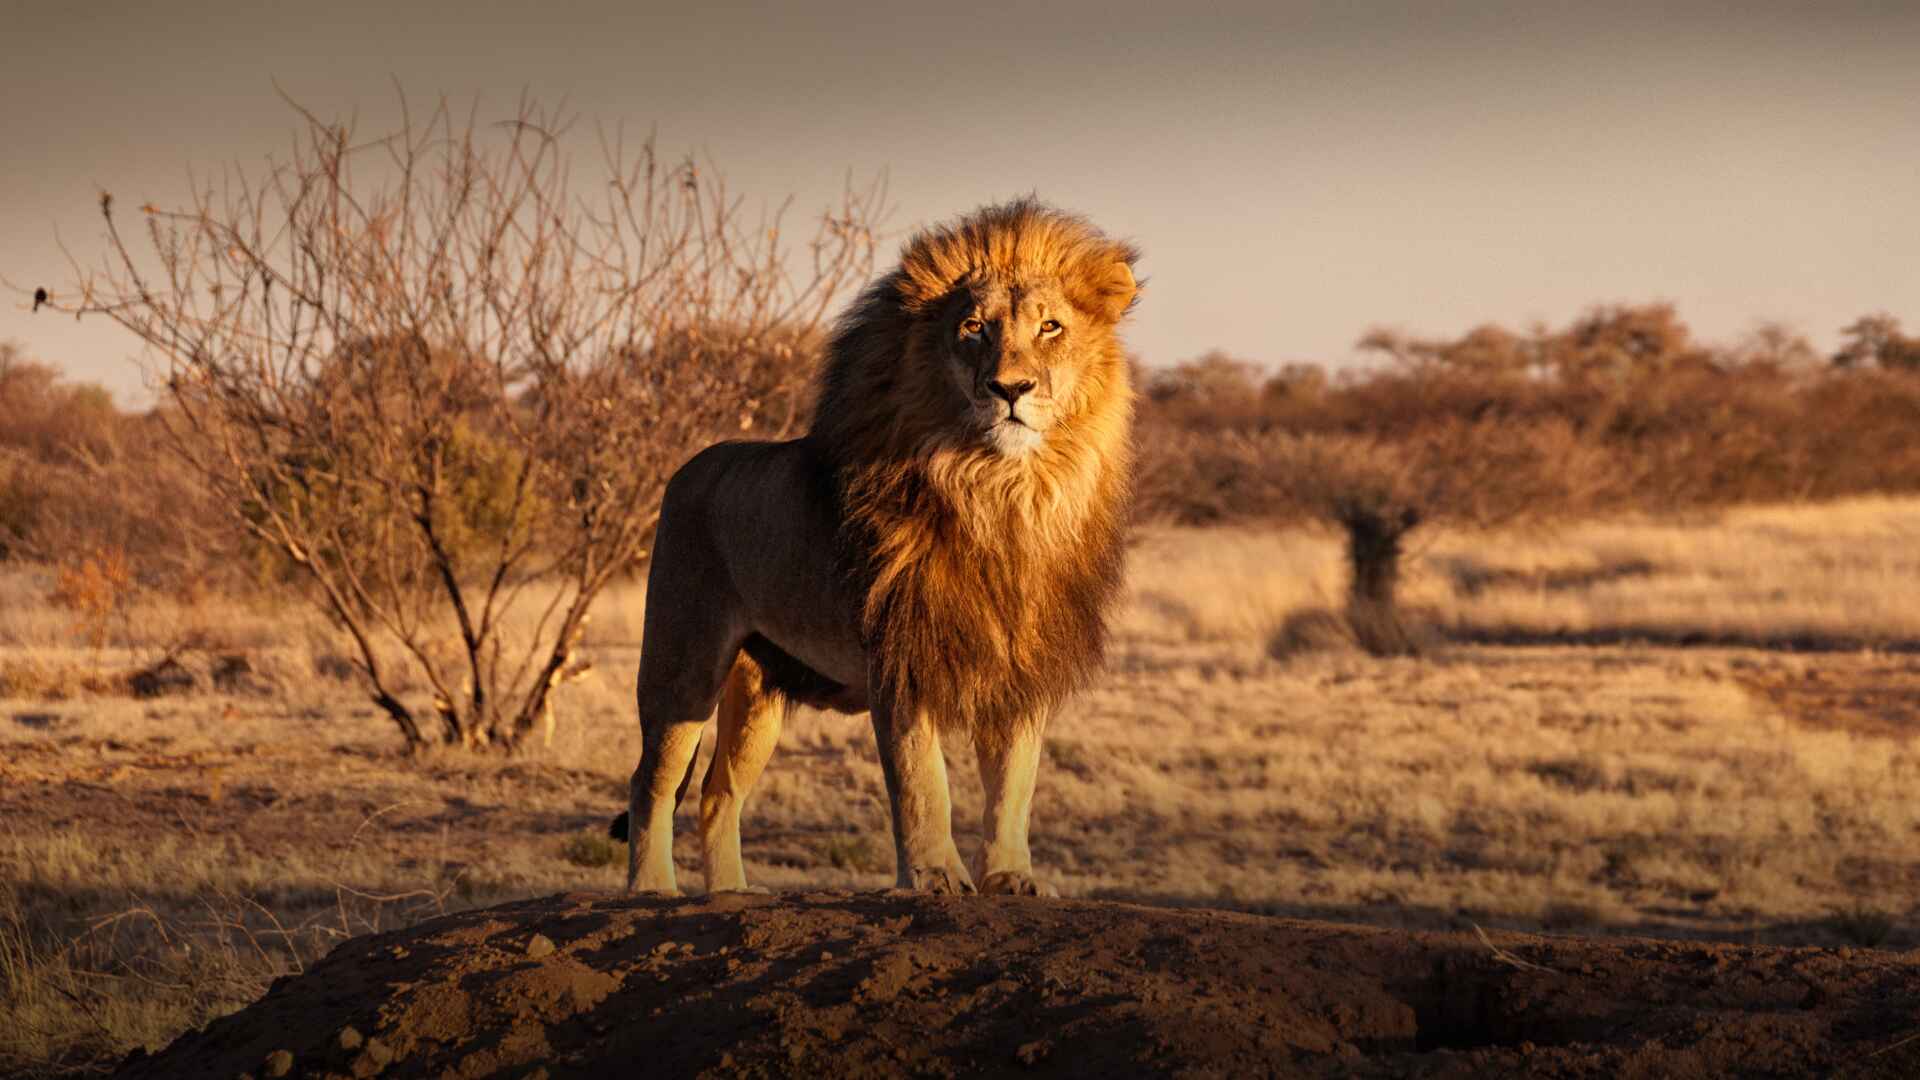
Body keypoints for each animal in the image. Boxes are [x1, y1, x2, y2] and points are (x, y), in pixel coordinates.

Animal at [612, 198, 1139, 897]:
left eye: (1051, 327)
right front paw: (936, 876)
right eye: (974, 327)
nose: (1010, 389)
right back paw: (652, 889)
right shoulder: (901, 657)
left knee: (717, 793)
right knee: (653, 781)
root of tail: (688, 467)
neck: (1004, 494)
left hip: (757, 694)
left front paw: (1011, 877)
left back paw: (731, 894)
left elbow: (1014, 786)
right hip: (683, 663)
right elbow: (923, 782)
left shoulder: (1021, 666)